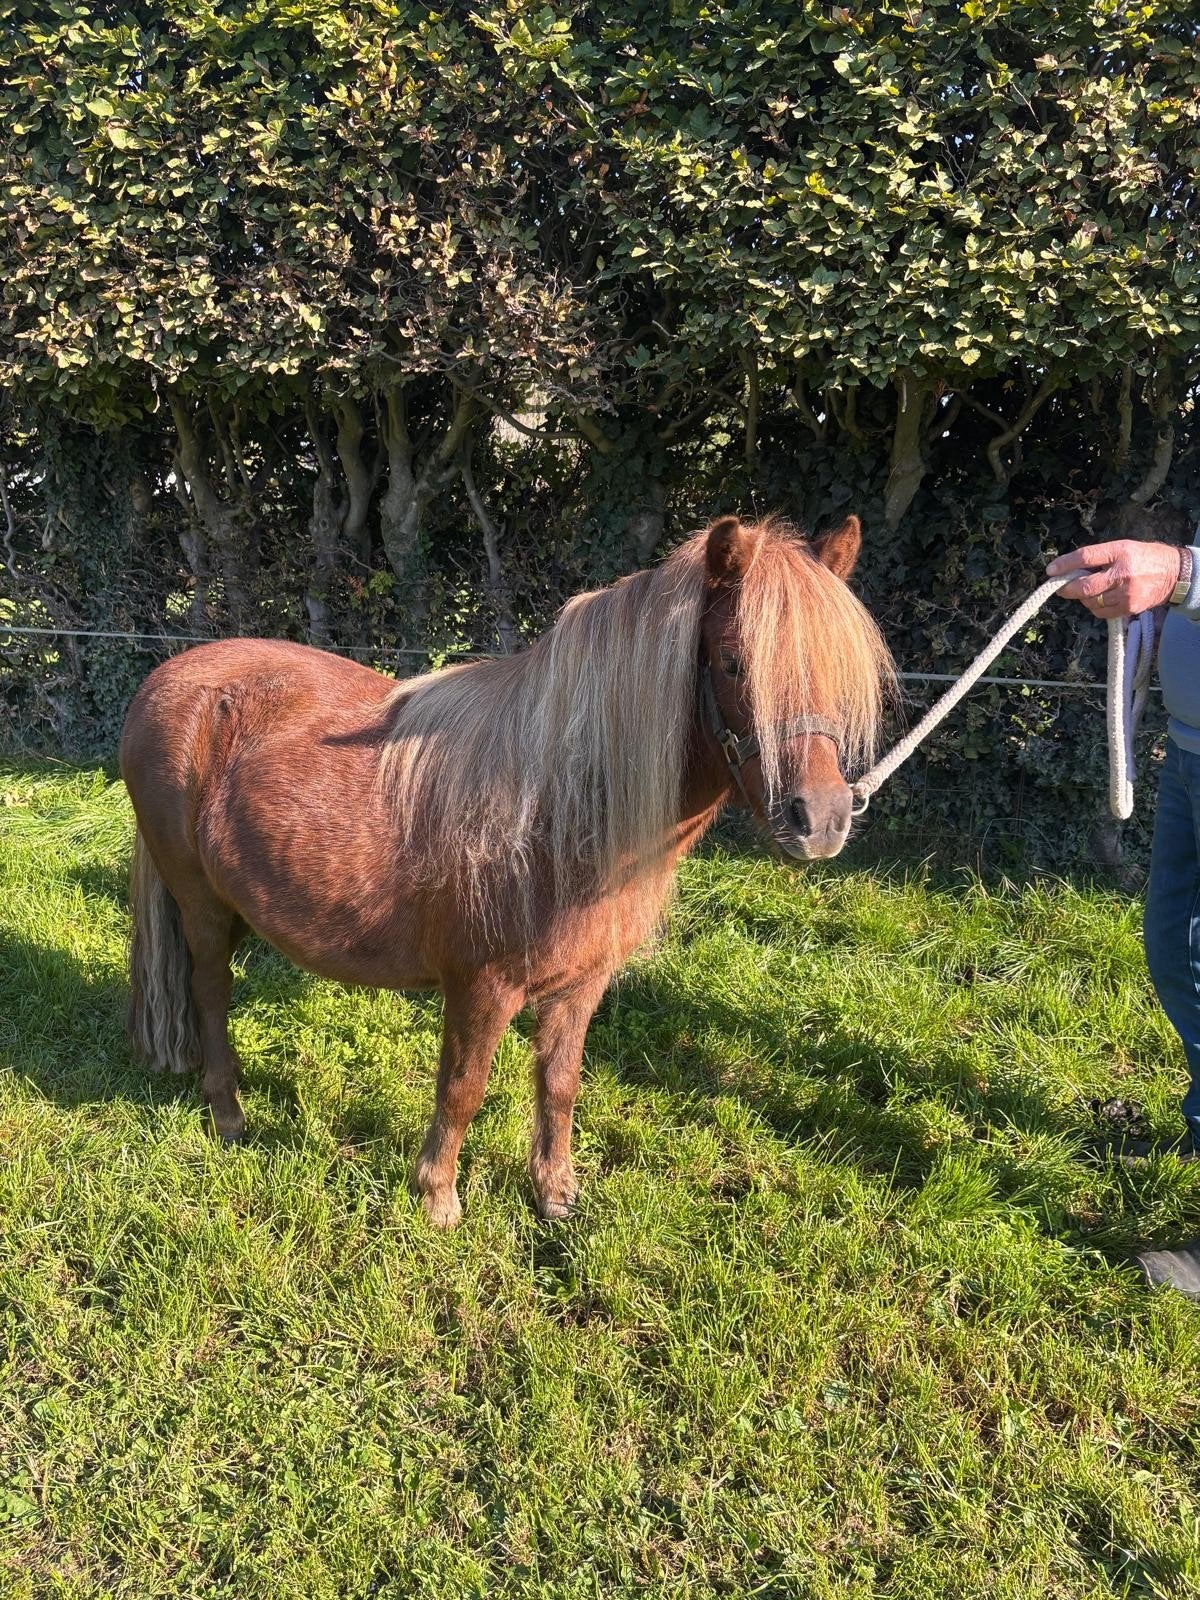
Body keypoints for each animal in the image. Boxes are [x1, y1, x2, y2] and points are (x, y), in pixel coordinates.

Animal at [120, 513, 893, 1226]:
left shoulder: (581, 983)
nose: (820, 820)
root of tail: (168, 678)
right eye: (735, 662)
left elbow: (560, 1083)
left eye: (838, 674)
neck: (556, 805)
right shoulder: (481, 987)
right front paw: (437, 1198)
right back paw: (229, 1116)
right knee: (211, 992)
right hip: (201, 904)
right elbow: (464, 1087)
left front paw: (554, 1194)